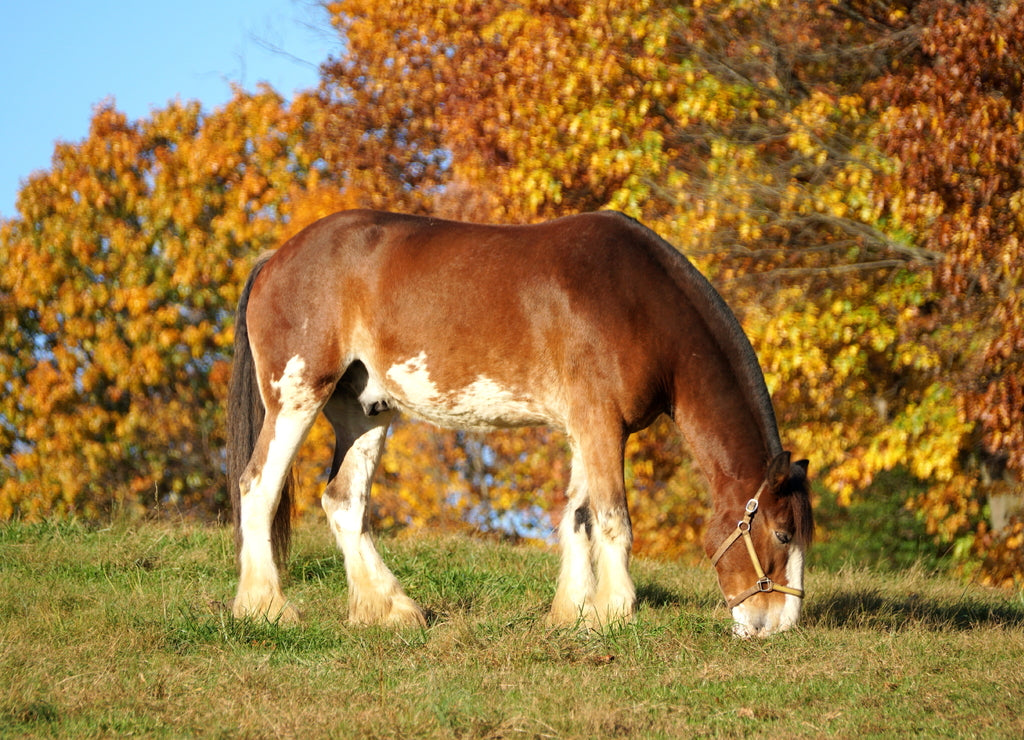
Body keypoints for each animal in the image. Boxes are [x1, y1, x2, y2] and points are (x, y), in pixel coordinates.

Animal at [228, 208, 811, 638]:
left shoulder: (585, 428)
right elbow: (612, 518)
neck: (638, 302)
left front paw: (574, 613)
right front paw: (615, 611)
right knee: (257, 487)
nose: (775, 626)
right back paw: (266, 608)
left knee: (343, 502)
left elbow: (577, 516)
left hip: (365, 411)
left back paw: (390, 609)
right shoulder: (601, 424)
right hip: (298, 395)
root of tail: (276, 257)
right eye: (782, 533)